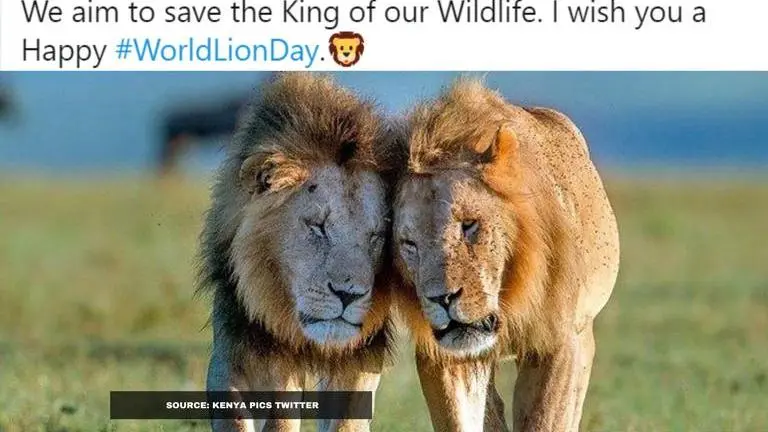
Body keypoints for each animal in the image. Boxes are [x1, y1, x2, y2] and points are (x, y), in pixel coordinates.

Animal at [198, 73, 397, 432]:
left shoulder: (360, 358)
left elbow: (345, 420)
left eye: (377, 236)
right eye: (317, 226)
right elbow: (249, 416)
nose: (349, 295)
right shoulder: (237, 346)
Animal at [391, 79, 620, 431]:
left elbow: (543, 421)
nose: (441, 299)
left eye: (469, 225)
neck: (509, 294)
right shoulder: (443, 354)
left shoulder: (558, 344)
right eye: (409, 244)